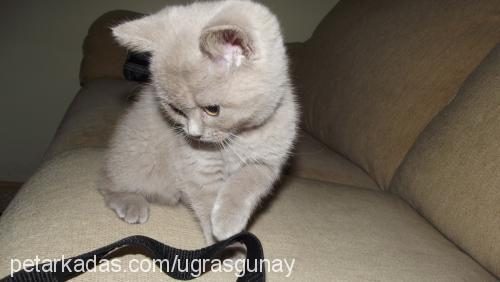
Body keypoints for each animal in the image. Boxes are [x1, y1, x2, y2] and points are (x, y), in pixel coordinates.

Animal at [100, 0, 298, 242]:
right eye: (175, 109)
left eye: (212, 110)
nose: (193, 134)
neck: (239, 137)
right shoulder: (198, 167)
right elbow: (206, 202)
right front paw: (221, 243)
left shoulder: (269, 160)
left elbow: (247, 182)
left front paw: (227, 221)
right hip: (135, 161)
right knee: (107, 184)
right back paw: (131, 203)